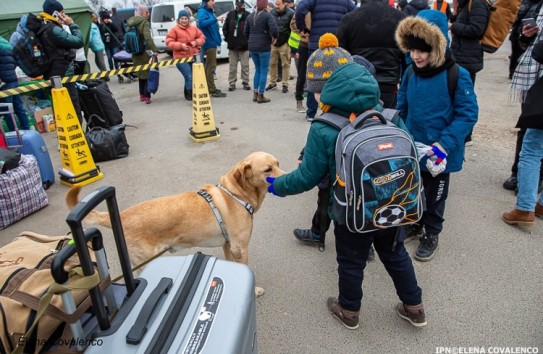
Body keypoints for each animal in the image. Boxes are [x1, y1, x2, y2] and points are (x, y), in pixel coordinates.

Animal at [68, 152, 284, 296]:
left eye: (278, 163)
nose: (286, 177)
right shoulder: (240, 248)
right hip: (148, 261)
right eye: (267, 170)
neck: (236, 194)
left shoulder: (228, 245)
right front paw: (253, 290)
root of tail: (121, 215)